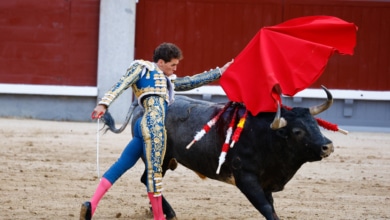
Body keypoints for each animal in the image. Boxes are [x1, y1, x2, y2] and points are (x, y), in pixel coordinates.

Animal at [104, 86, 336, 220]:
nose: (327, 146)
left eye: (315, 124)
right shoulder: (246, 178)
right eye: (297, 131)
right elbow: (266, 209)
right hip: (157, 157)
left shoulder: (266, 182)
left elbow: (270, 206)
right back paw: (168, 213)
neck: (267, 137)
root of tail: (142, 106)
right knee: (148, 179)